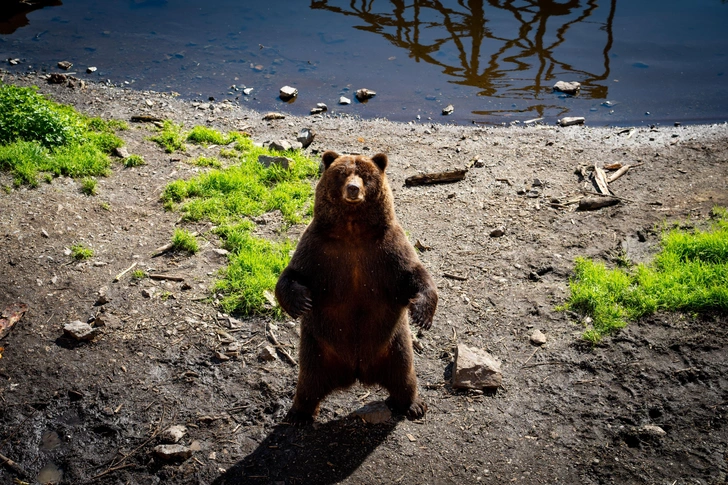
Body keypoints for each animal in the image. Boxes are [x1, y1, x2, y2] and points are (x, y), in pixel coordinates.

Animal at [274, 149, 438, 422]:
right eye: (342, 174)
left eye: (364, 175)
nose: (353, 188)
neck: (353, 231)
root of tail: (357, 370)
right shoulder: (318, 249)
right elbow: (293, 275)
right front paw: (301, 302)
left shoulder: (388, 249)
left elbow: (414, 274)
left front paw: (422, 315)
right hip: (317, 350)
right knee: (308, 382)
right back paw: (298, 413)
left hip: (393, 344)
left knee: (404, 374)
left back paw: (414, 404)